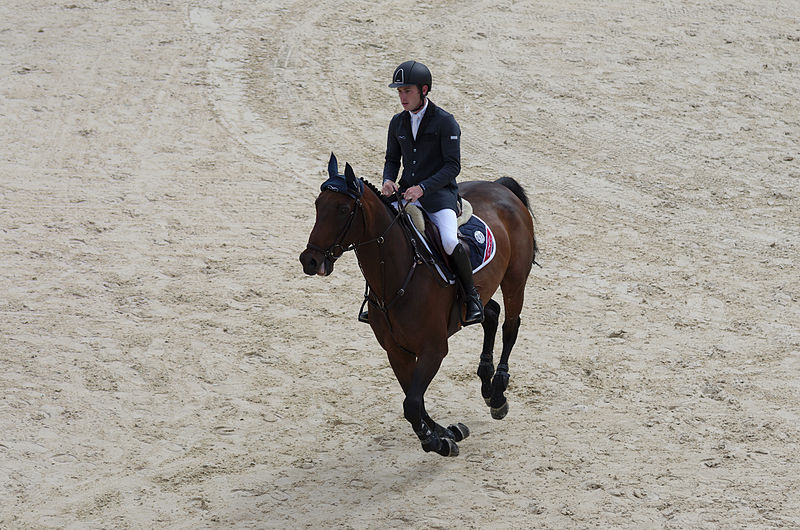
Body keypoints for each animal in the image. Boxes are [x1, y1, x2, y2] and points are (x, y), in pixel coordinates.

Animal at [300, 153, 536, 454]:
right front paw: (446, 433)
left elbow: (412, 403)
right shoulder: (396, 351)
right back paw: (485, 381)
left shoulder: (433, 350)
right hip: (481, 291)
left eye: (342, 209)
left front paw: (437, 441)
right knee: (490, 313)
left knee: (510, 326)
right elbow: (414, 401)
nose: (309, 260)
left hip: (515, 280)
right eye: (318, 205)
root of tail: (500, 187)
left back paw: (497, 396)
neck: (394, 278)